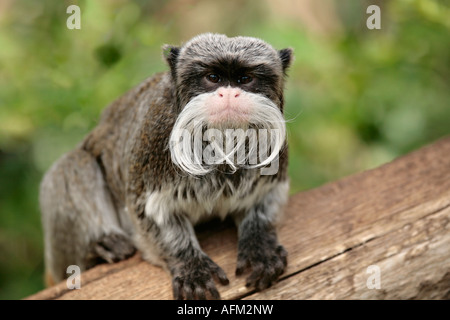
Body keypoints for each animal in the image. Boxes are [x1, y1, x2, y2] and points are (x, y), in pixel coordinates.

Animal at [39, 33, 292, 300]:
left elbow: (262, 202)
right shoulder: (154, 146)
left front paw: (261, 248)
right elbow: (152, 215)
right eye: (213, 78)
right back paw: (98, 247)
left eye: (245, 80)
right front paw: (191, 268)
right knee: (73, 165)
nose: (230, 94)